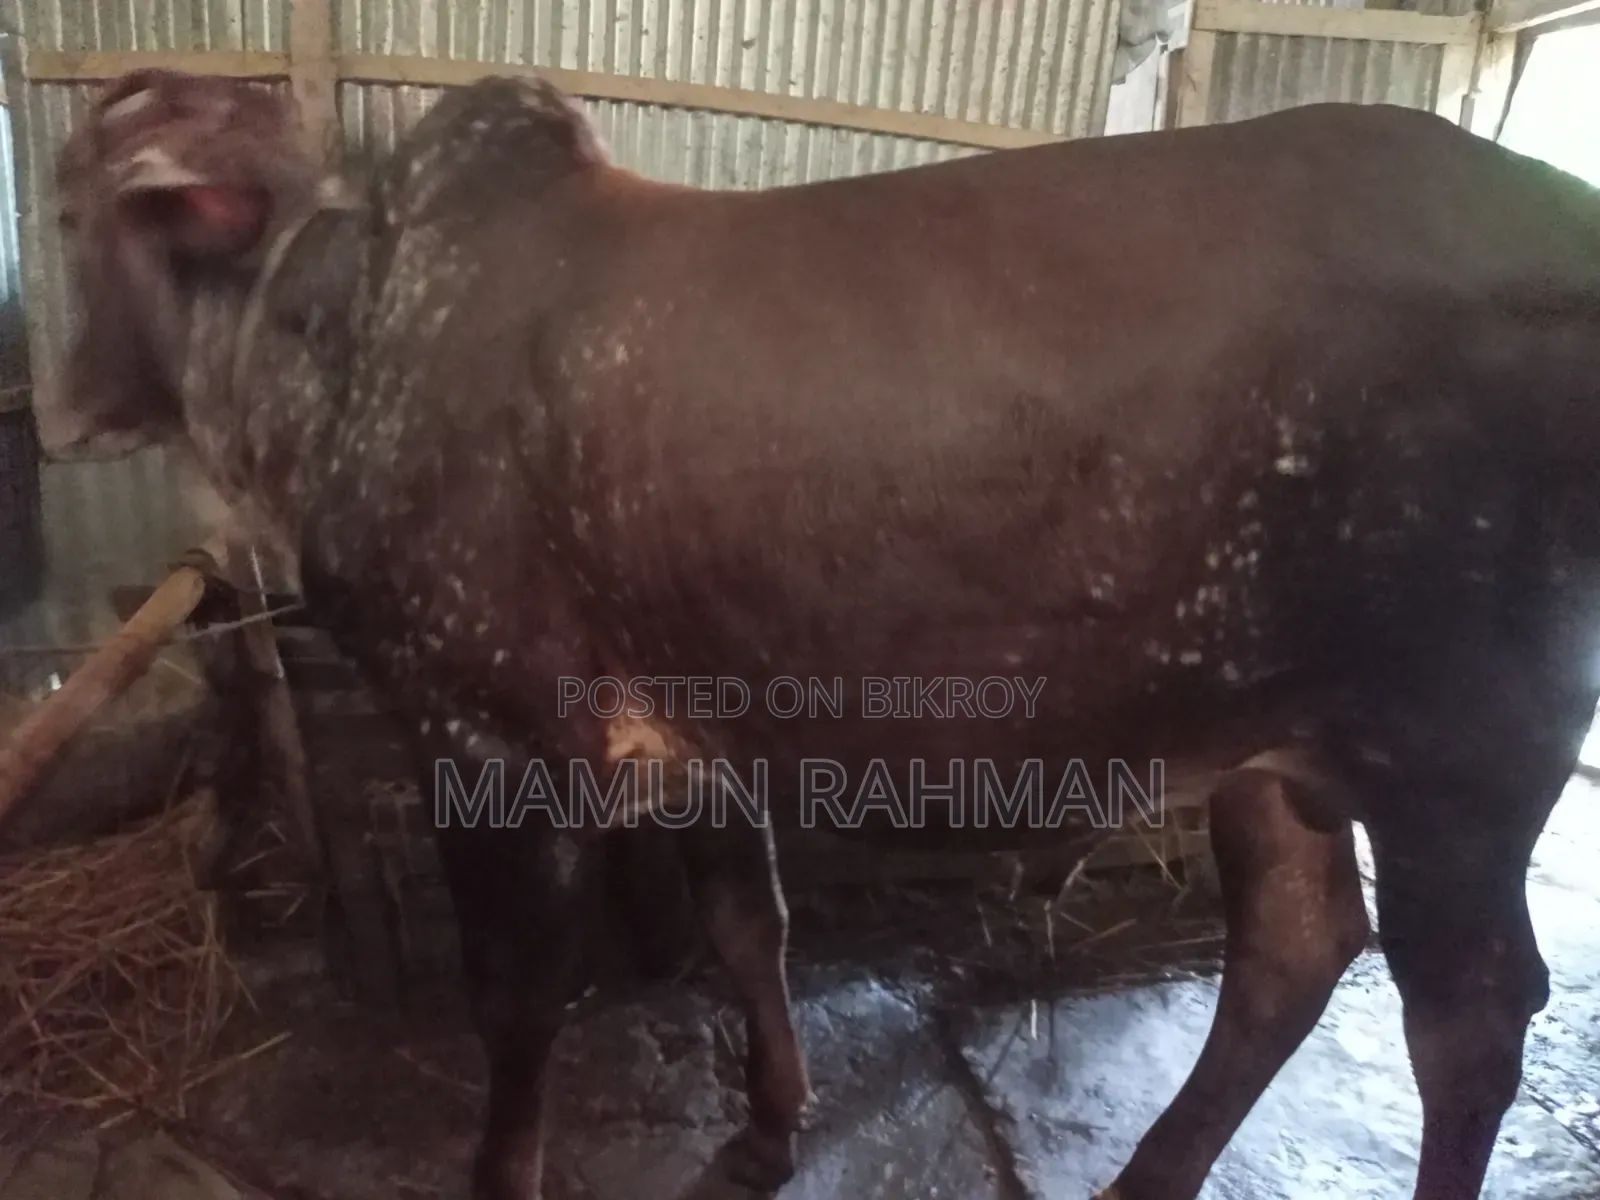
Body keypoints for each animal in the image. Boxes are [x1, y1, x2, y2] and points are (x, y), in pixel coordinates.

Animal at [41, 65, 1600, 1200]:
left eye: (61, 210)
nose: (54, 411)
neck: (342, 339)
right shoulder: (703, 726)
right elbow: (750, 926)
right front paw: (769, 1124)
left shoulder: (491, 732)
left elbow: (518, 998)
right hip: (1276, 746)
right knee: (1294, 944)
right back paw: (1145, 1180)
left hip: (1459, 758)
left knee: (1466, 1019)